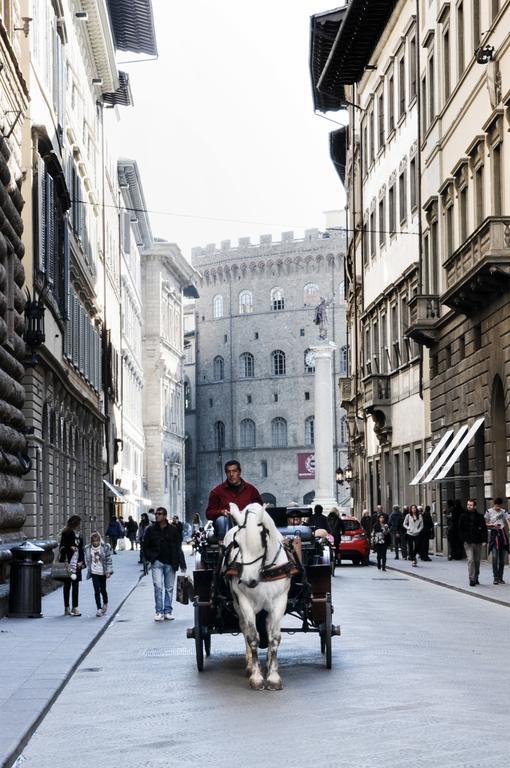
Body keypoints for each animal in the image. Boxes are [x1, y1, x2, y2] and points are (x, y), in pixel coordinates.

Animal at [222, 504, 290, 688]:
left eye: (263, 538)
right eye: (236, 543)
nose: (248, 580)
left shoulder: (280, 602)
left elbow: (274, 637)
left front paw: (273, 676)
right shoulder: (244, 602)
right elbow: (252, 637)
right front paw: (256, 676)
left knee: (267, 625)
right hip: (238, 605)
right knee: (245, 628)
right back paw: (250, 665)